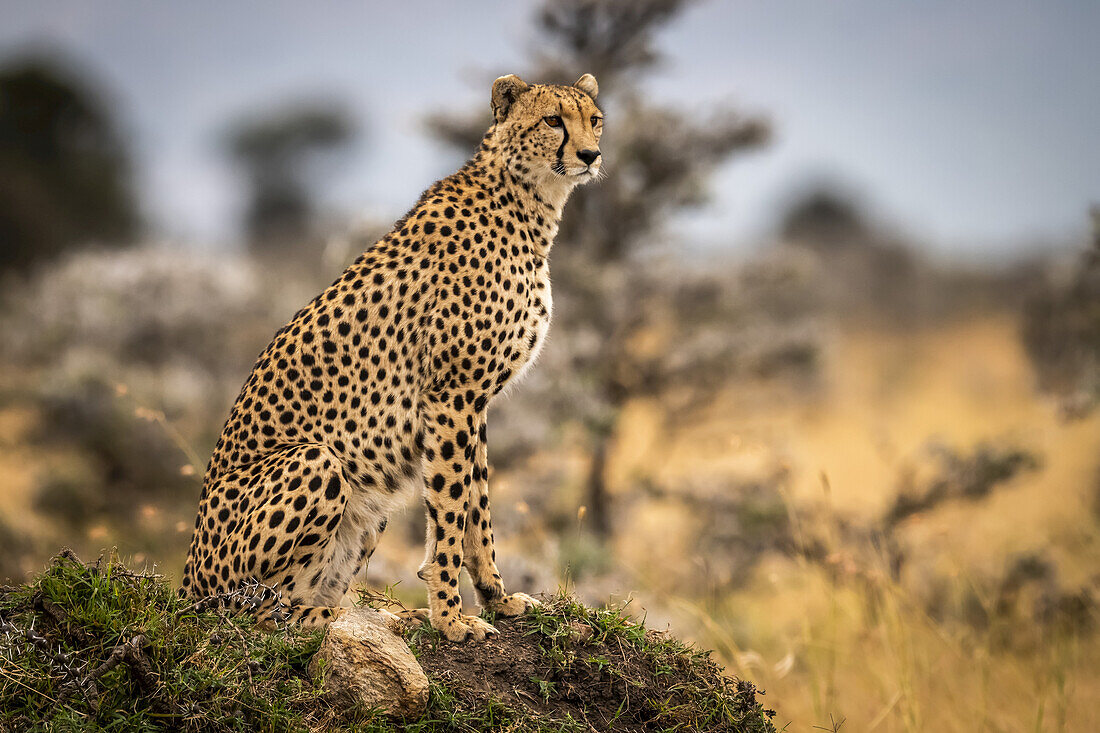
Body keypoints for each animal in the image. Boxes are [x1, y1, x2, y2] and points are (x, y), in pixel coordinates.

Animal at [183, 72, 607, 638]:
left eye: (594, 119)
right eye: (553, 120)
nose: (590, 154)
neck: (527, 201)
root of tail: (184, 585)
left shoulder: (474, 402)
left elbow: (477, 507)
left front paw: (497, 599)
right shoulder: (452, 395)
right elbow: (449, 510)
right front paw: (450, 619)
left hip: (368, 507)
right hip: (318, 464)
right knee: (251, 612)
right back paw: (339, 615)